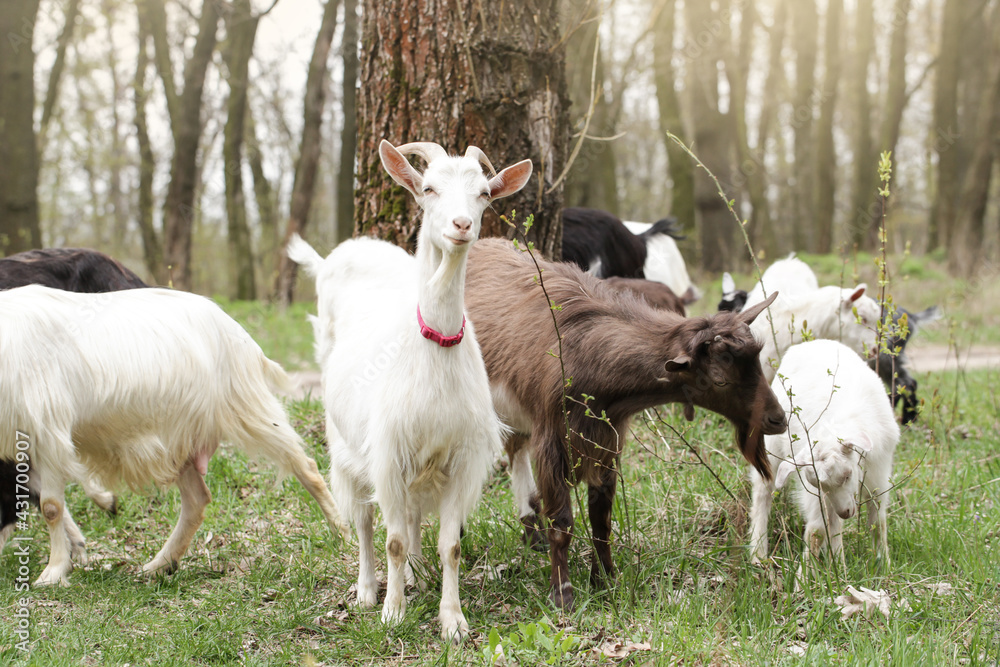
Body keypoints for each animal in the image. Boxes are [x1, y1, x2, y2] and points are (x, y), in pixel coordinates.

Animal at [0, 285, 349, 586]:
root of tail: (238, 332)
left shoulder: (47, 430)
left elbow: (51, 507)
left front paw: (53, 572)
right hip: (178, 441)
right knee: (197, 500)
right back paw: (160, 565)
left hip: (247, 409)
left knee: (306, 466)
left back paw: (342, 532)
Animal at [287, 140, 532, 642]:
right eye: (429, 189)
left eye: (484, 194)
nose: (461, 226)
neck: (434, 346)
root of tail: (346, 251)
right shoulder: (387, 451)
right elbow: (393, 540)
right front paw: (392, 611)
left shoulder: (459, 456)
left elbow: (451, 544)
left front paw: (453, 620)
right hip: (347, 446)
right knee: (363, 519)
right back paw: (367, 589)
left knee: (416, 515)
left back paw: (418, 574)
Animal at [465, 237, 788, 610]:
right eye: (720, 380)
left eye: (758, 364)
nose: (778, 419)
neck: (588, 355)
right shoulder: (552, 438)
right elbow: (562, 522)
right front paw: (563, 596)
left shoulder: (607, 439)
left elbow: (601, 518)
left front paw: (606, 581)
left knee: (515, 446)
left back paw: (531, 533)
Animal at [748, 340, 899, 579]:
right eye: (818, 484)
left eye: (847, 476)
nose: (847, 513)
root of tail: (809, 342)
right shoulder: (816, 491)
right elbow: (817, 530)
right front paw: (802, 580)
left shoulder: (879, 471)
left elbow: (877, 520)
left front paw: (883, 565)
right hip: (772, 444)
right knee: (763, 489)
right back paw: (758, 553)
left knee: (835, 523)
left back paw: (841, 568)